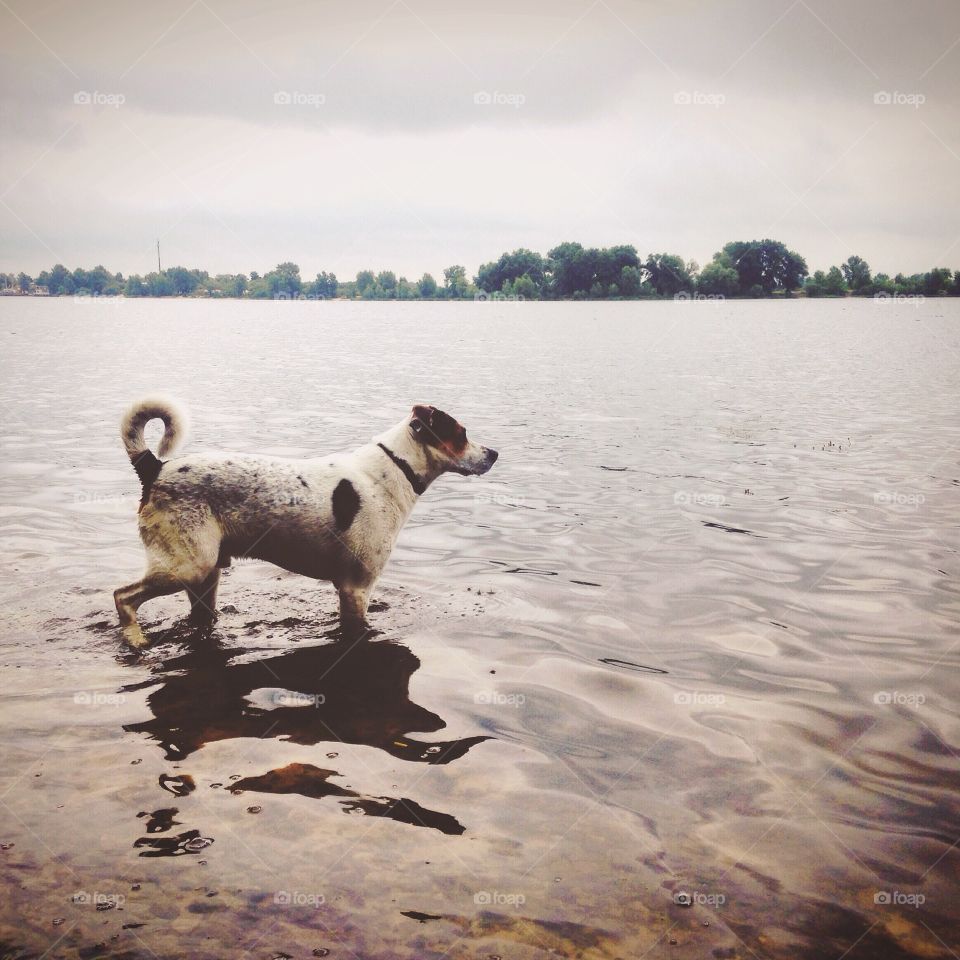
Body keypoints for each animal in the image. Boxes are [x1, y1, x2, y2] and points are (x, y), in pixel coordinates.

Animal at [116, 394, 498, 648]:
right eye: (462, 434)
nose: (494, 453)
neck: (395, 467)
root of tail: (155, 467)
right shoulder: (356, 588)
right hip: (186, 567)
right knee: (123, 596)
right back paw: (135, 639)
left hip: (206, 575)